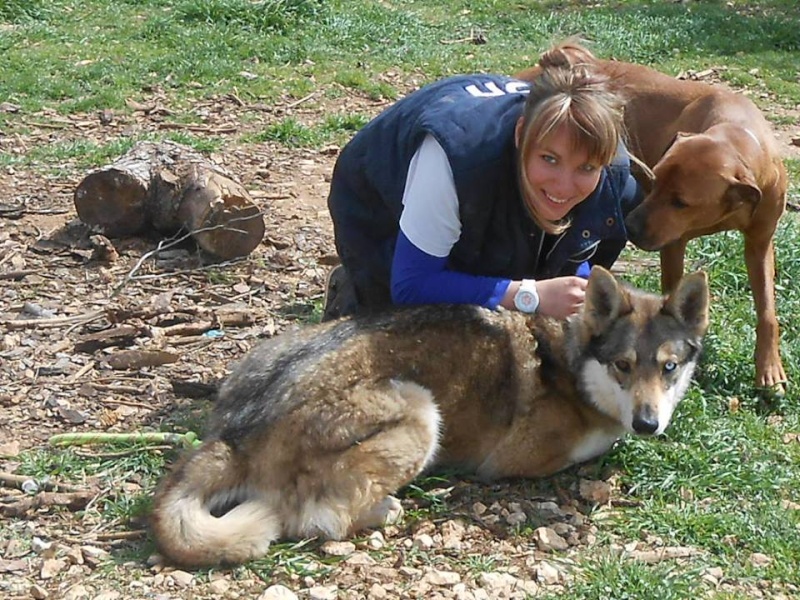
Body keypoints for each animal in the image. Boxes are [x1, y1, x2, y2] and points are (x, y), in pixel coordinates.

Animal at [148, 268, 708, 568]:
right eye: (623, 366)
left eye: (669, 367)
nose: (648, 424)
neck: (570, 362)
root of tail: (234, 436)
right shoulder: (525, 456)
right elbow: (600, 446)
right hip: (420, 413)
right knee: (316, 517)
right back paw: (384, 509)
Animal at [520, 42, 788, 390]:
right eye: (655, 178)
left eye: (680, 202)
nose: (631, 228)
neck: (737, 134)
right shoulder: (673, 243)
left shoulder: (760, 243)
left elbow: (767, 310)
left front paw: (769, 367)